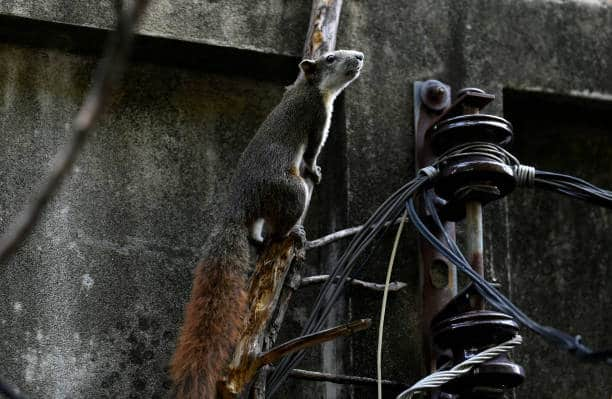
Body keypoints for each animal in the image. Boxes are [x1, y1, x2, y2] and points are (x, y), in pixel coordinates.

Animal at [169, 48, 364, 398]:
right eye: (330, 58)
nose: (360, 56)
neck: (311, 88)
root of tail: (238, 208)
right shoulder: (317, 118)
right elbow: (311, 153)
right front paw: (315, 170)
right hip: (289, 190)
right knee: (282, 222)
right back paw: (293, 232)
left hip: (262, 214)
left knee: (257, 233)